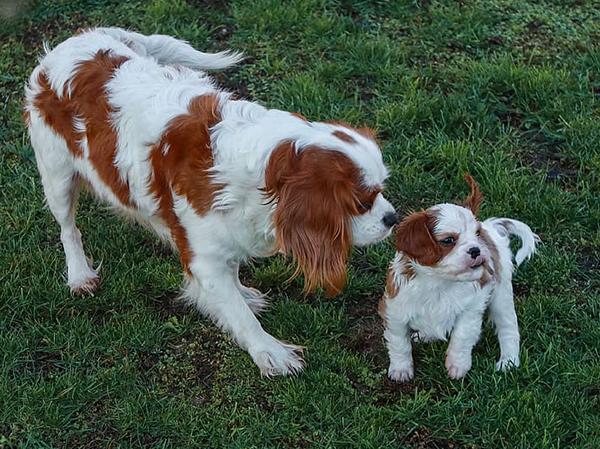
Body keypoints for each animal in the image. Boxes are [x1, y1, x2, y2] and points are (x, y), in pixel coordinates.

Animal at [24, 28, 398, 376]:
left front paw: (238, 294)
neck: (256, 175)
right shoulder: (203, 254)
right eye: (362, 202)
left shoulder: (225, 234)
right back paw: (79, 274)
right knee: (68, 228)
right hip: (56, 174)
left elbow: (231, 280)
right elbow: (240, 315)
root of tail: (78, 38)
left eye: (382, 190)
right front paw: (269, 351)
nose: (393, 218)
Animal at [380, 176, 540, 382]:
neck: (439, 282)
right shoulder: (395, 311)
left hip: (501, 294)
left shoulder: (472, 308)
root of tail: (490, 228)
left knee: (508, 328)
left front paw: (457, 365)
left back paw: (508, 362)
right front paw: (401, 369)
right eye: (449, 240)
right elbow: (399, 342)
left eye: (477, 235)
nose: (476, 250)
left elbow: (461, 337)